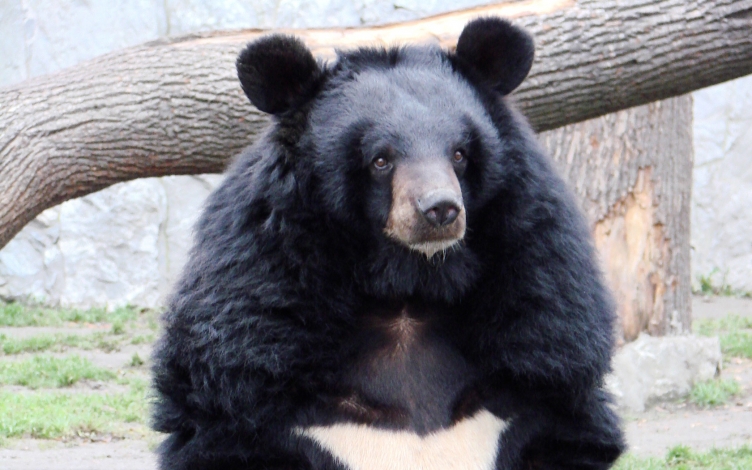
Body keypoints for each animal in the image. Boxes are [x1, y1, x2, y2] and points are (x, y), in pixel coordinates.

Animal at [152, 17, 625, 470]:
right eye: (380, 159)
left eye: (459, 154)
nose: (440, 209)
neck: (408, 285)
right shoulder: (252, 338)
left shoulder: (543, 330)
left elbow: (565, 415)